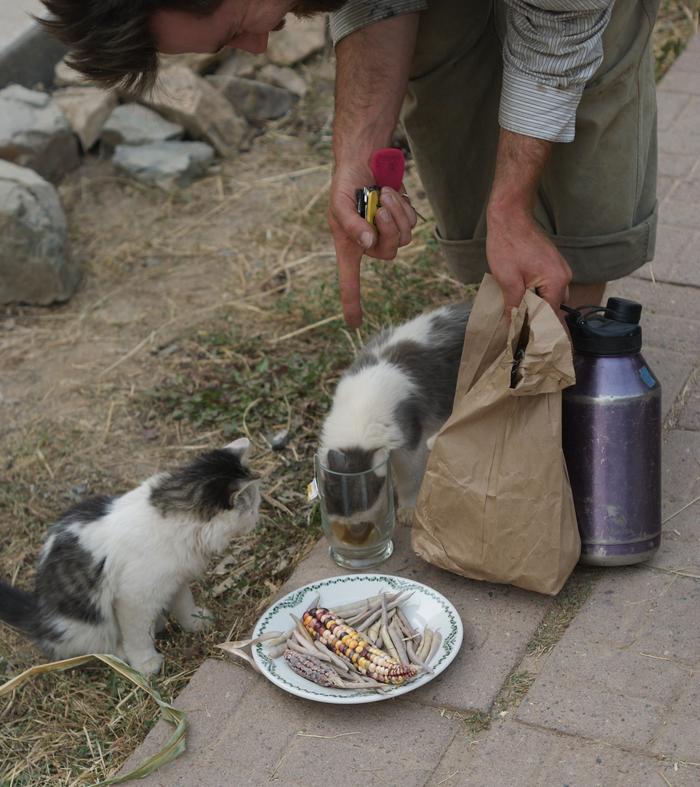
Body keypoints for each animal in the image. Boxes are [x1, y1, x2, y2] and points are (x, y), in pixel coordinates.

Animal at [0, 438, 260, 676]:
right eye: (253, 507)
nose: (259, 515)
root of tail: (38, 613)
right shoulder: (133, 599)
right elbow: (137, 636)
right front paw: (146, 664)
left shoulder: (175, 581)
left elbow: (184, 605)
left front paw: (196, 622)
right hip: (85, 626)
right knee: (99, 646)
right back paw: (122, 652)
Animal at [318, 304, 470, 528]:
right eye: (329, 490)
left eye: (368, 493)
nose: (351, 529)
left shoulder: (410, 441)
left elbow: (409, 477)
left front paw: (407, 510)